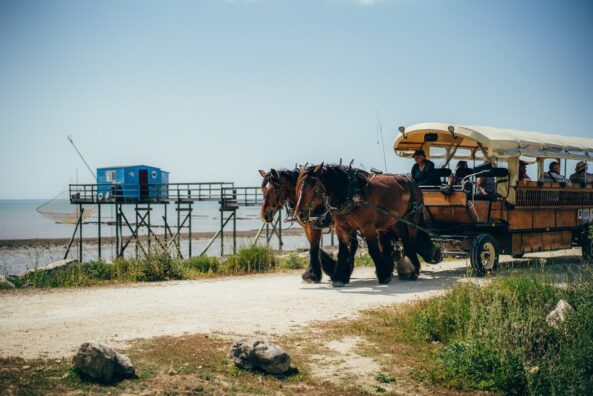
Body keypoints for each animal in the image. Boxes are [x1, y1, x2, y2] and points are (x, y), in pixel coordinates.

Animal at [294, 162, 442, 286]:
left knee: (410, 241)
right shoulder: (341, 228)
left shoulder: (368, 227)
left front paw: (383, 275)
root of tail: (411, 180)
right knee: (404, 239)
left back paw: (414, 269)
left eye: (312, 187)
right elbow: (343, 251)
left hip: (412, 219)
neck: (351, 193)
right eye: (298, 187)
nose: (299, 214)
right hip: (397, 221)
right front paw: (339, 277)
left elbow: (373, 250)